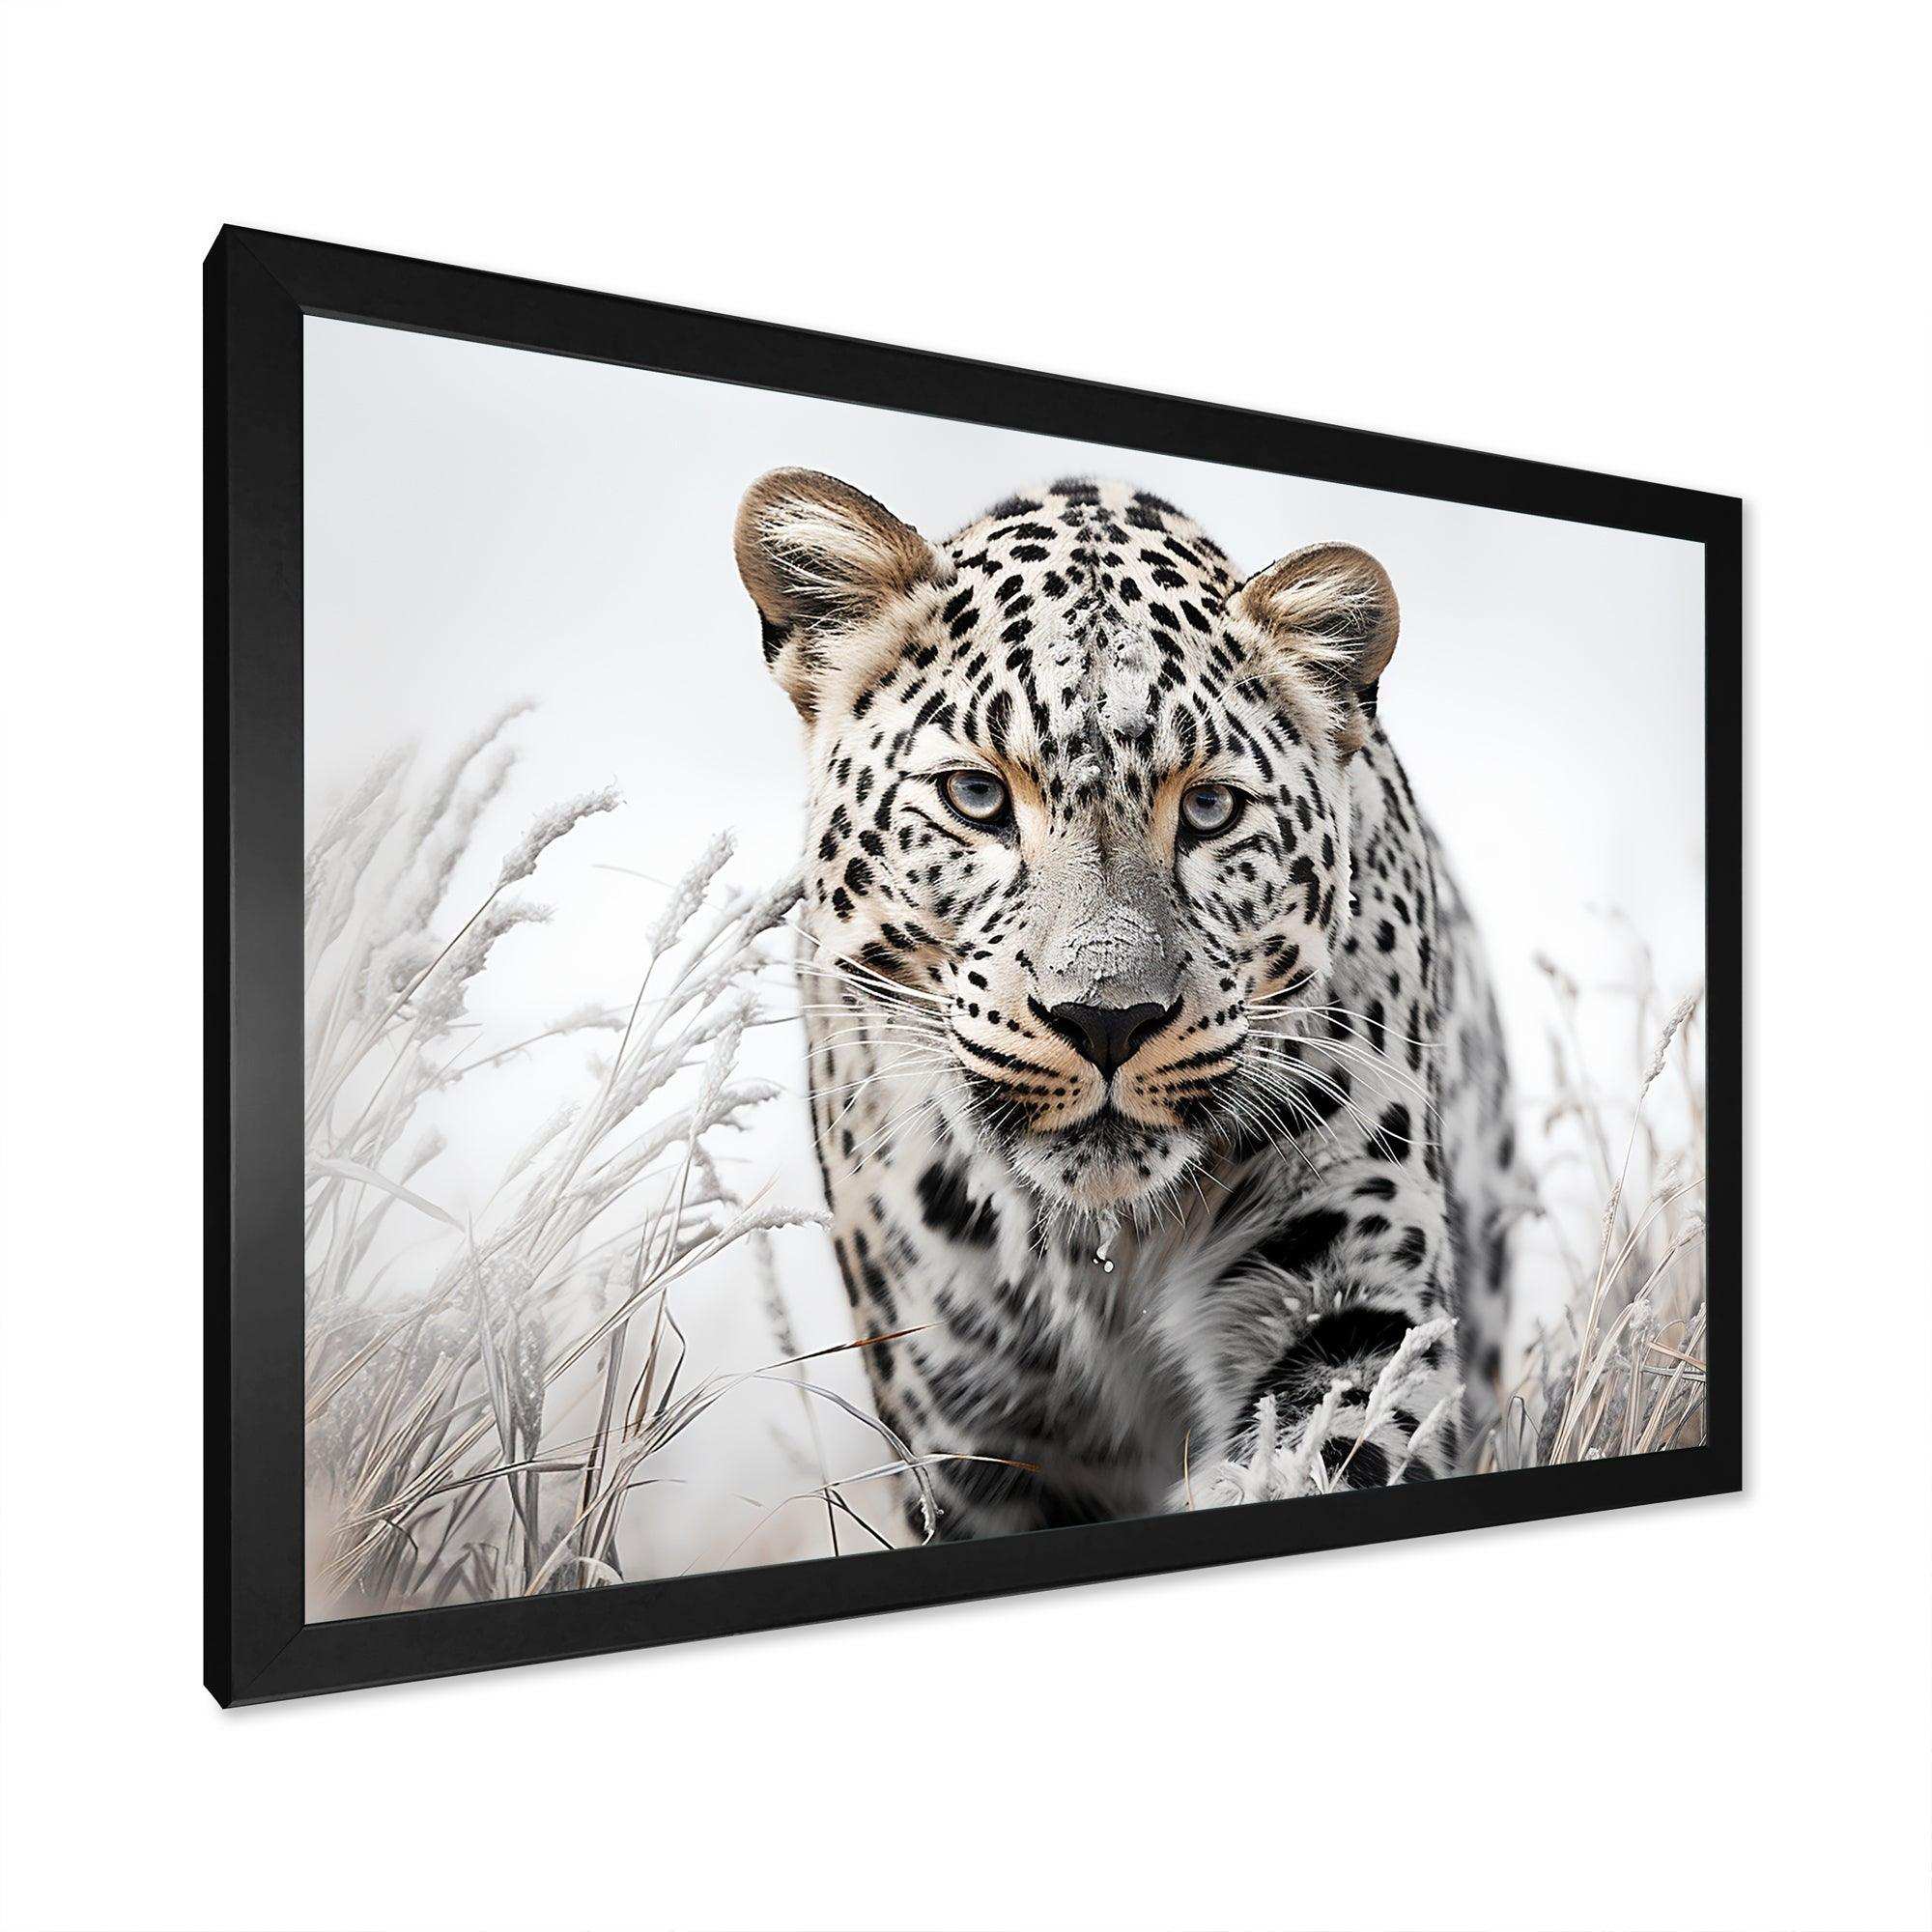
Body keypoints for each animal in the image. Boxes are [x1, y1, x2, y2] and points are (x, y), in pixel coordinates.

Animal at [735, 469, 1517, 1539]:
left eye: (1209, 810)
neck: (1099, 1251)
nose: (1107, 1020)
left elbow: (1330, 1445)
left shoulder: (1351, 1289)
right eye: (976, 797)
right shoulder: (965, 1419)